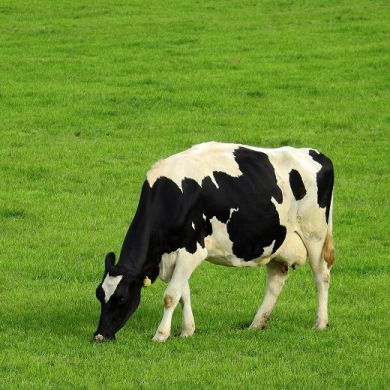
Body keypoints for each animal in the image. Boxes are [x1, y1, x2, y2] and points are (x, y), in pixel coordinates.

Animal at [94, 142, 336, 342]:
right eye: (99, 294)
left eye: (122, 298)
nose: (99, 335)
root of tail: (317, 154)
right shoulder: (177, 253)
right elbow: (183, 294)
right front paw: (187, 330)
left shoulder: (192, 250)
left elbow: (171, 296)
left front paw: (161, 335)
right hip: (278, 241)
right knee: (275, 281)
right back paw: (256, 324)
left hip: (315, 235)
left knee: (321, 275)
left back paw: (320, 323)